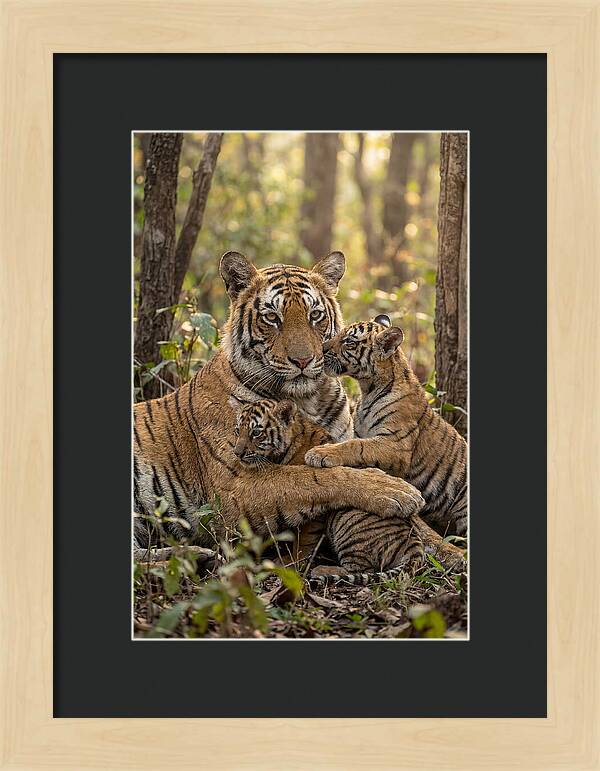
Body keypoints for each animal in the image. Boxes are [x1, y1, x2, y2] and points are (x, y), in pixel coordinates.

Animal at [134, 251, 426, 552]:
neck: (308, 399)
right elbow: (310, 477)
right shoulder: (234, 486)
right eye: (272, 317)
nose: (303, 361)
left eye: (315, 315)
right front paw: (395, 490)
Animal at [304, 314, 468, 539]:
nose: (321, 348)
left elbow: (357, 446)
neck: (367, 389)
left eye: (349, 342)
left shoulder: (396, 444)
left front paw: (320, 453)